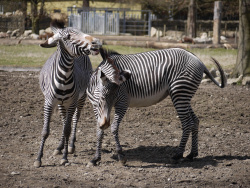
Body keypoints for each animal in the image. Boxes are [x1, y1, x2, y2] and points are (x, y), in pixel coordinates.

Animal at [33, 19, 101, 167]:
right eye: (68, 37)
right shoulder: (49, 103)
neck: (64, 76)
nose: (96, 42)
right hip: (61, 103)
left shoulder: (72, 102)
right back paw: (59, 147)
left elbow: (68, 129)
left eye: (81, 31)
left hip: (81, 98)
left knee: (75, 119)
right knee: (64, 121)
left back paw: (70, 146)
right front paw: (38, 158)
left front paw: (65, 157)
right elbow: (45, 131)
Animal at [86, 47, 227, 166]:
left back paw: (178, 154)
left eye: (116, 95)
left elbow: (114, 127)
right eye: (102, 98)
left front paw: (121, 156)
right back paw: (192, 154)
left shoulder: (123, 102)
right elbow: (98, 130)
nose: (105, 123)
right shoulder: (95, 107)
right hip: (184, 95)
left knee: (187, 123)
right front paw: (96, 158)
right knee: (194, 121)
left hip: (180, 92)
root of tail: (198, 60)